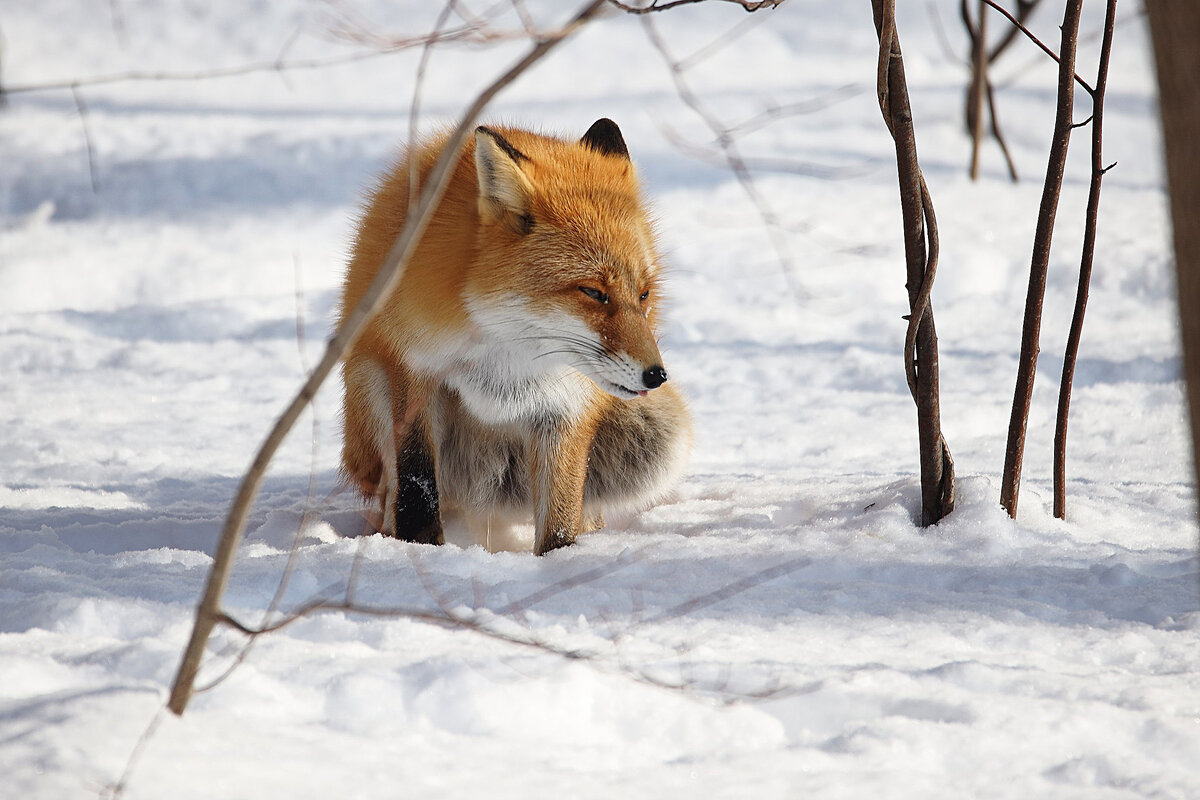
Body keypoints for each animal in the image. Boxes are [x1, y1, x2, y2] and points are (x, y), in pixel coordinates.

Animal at [338, 118, 696, 556]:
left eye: (644, 295)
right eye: (594, 292)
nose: (656, 375)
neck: (506, 350)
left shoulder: (567, 403)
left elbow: (560, 518)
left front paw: (561, 561)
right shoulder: (415, 369)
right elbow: (417, 487)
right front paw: (417, 549)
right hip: (369, 385)